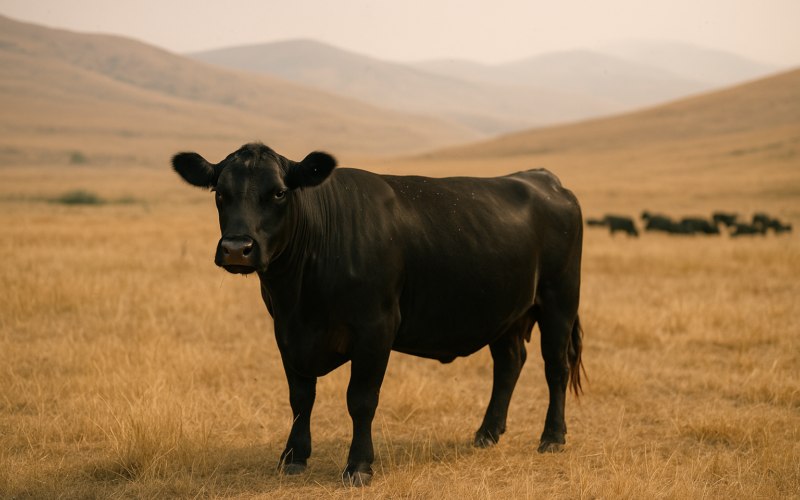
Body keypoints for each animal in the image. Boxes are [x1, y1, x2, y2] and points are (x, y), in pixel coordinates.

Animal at [172, 143, 585, 486]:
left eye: (278, 192)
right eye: (219, 193)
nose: (236, 248)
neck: (300, 296)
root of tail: (543, 178)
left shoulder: (376, 328)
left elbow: (361, 399)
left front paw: (358, 465)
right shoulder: (286, 333)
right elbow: (300, 398)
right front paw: (293, 457)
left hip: (559, 299)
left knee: (556, 366)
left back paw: (552, 437)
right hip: (506, 312)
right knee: (509, 363)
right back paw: (486, 433)